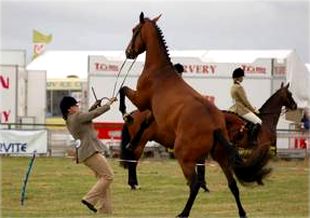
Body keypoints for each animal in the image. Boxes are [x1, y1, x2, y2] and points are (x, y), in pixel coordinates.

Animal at [118, 12, 272, 217]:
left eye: (135, 30)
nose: (128, 52)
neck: (159, 71)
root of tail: (215, 125)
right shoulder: (151, 112)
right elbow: (144, 123)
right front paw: (130, 132)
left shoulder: (141, 100)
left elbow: (123, 90)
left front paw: (125, 113)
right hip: (220, 157)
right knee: (232, 184)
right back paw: (242, 212)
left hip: (185, 157)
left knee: (194, 184)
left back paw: (182, 212)